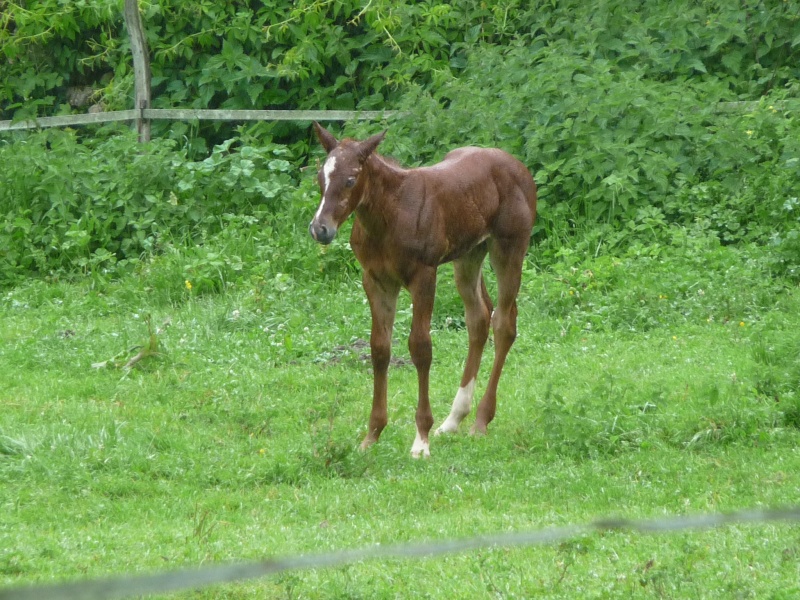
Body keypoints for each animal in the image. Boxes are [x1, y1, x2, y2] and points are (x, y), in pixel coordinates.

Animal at [308, 123, 536, 460]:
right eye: (320, 177)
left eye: (350, 179)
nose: (320, 229)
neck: (389, 216)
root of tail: (518, 165)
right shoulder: (376, 280)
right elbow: (379, 349)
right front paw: (372, 435)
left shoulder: (423, 276)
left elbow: (420, 348)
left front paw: (421, 439)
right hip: (469, 255)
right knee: (479, 319)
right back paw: (453, 420)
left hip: (509, 246)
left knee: (503, 323)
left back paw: (480, 421)